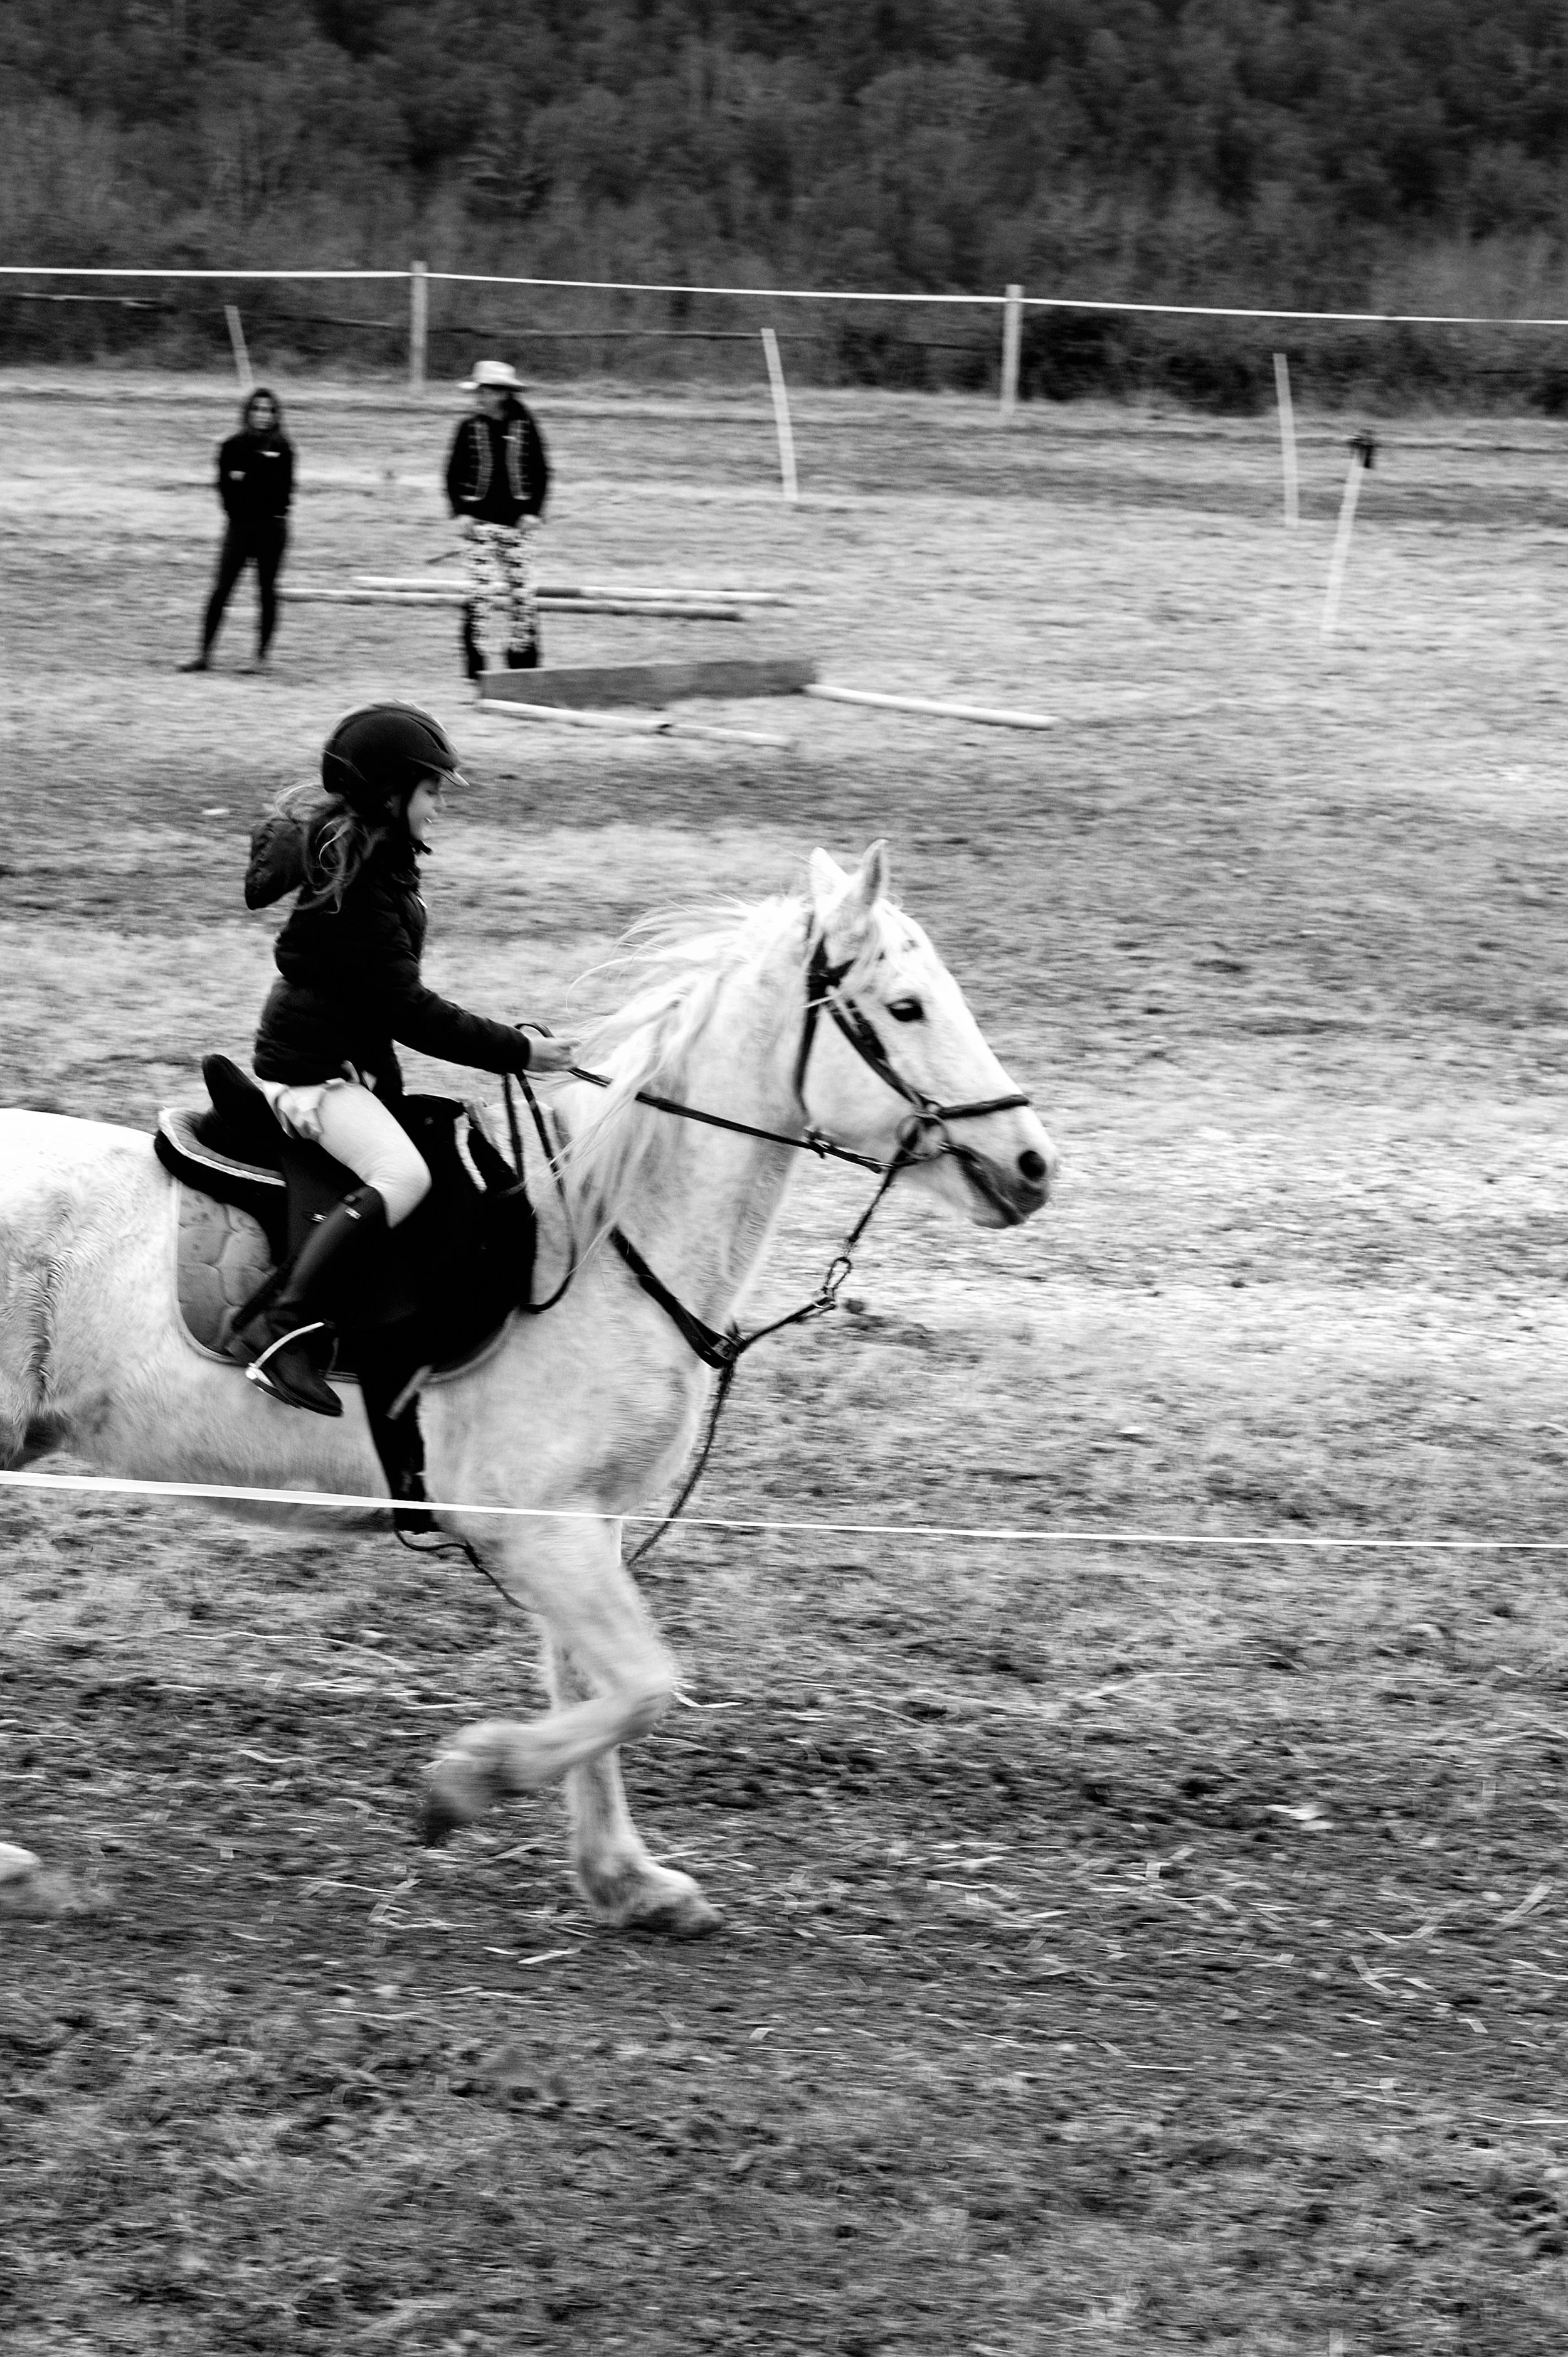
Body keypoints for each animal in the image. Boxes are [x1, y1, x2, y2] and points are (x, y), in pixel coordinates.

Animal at [0, 842, 1056, 1935]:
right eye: (905, 1007)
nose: (1033, 1163)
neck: (602, 1241)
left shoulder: (582, 1523)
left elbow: (593, 1687)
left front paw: (627, 1879)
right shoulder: (539, 1527)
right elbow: (644, 1684)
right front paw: (469, 1781)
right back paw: (12, 1866)